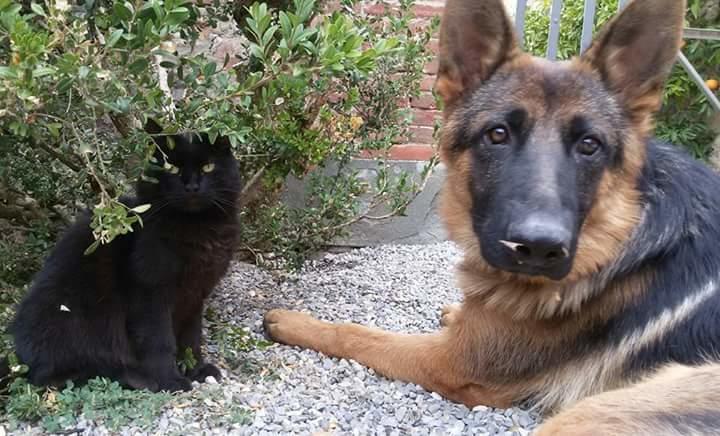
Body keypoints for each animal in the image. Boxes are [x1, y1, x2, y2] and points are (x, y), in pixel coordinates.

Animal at [6, 122, 242, 392]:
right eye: (171, 167)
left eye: (208, 167)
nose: (192, 187)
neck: (196, 229)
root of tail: (18, 357)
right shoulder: (152, 294)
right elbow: (160, 341)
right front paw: (169, 380)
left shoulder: (196, 295)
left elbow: (191, 338)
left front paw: (196, 370)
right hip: (71, 314)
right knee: (53, 376)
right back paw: (133, 377)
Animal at [262, 0, 720, 430]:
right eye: (497, 134)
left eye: (590, 145)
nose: (539, 248)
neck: (620, 235)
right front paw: (454, 311)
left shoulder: (449, 362)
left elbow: (356, 333)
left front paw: (293, 322)